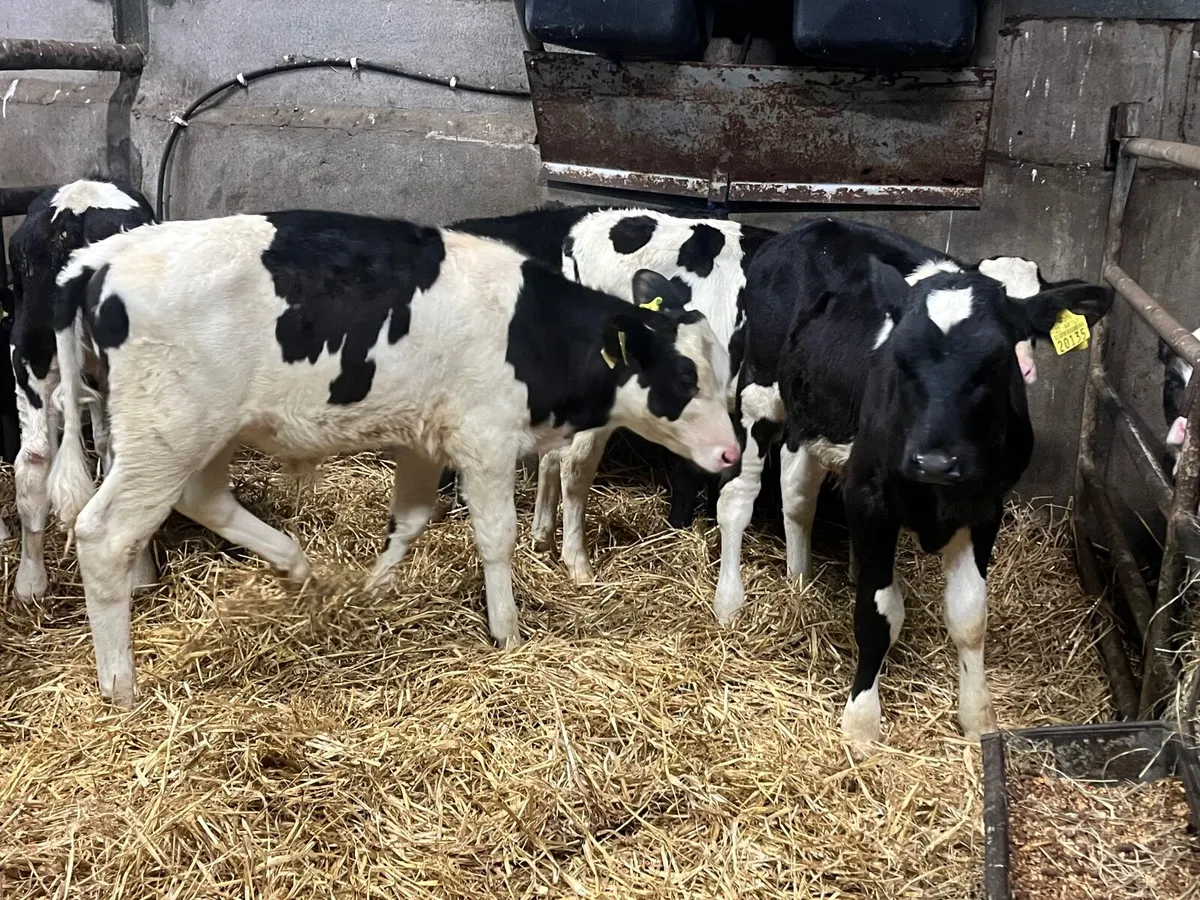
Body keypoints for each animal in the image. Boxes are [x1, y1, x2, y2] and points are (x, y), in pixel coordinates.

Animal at [47, 210, 741, 707]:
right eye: (684, 377)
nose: (731, 452)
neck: (532, 331)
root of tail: (106, 256)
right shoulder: (485, 437)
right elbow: (496, 535)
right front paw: (508, 631)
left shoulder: (421, 437)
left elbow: (409, 519)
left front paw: (373, 589)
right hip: (169, 432)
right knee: (105, 534)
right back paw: (120, 685)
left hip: (207, 434)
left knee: (206, 499)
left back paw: (299, 568)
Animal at [711, 217, 1111, 748]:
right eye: (899, 356)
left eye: (998, 357)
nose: (935, 461)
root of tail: (811, 226)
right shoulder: (870, 497)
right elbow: (878, 613)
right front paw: (861, 722)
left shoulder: (985, 506)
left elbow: (969, 616)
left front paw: (977, 718)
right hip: (759, 390)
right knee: (739, 496)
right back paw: (729, 603)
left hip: (809, 417)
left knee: (798, 497)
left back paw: (799, 584)